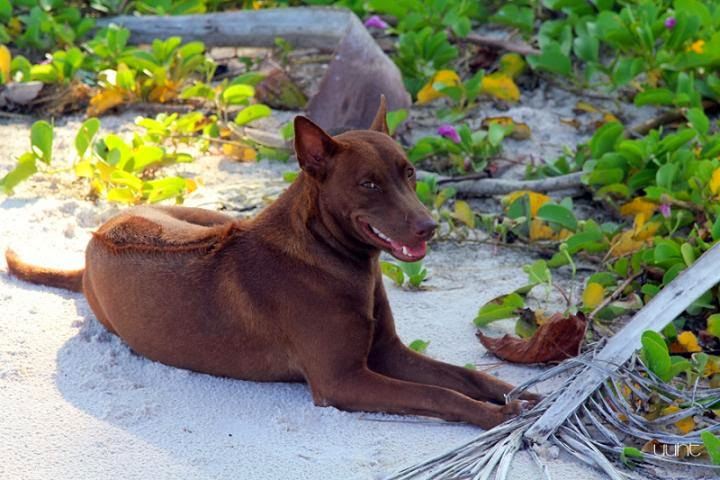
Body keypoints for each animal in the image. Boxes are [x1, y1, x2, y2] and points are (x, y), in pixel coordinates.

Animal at [4, 97, 536, 428]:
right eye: (368, 184)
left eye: (408, 173)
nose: (429, 227)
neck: (330, 255)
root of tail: (98, 236)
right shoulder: (343, 381)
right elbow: (437, 395)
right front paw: (492, 415)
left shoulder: (388, 352)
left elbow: (466, 377)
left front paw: (517, 394)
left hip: (211, 218)